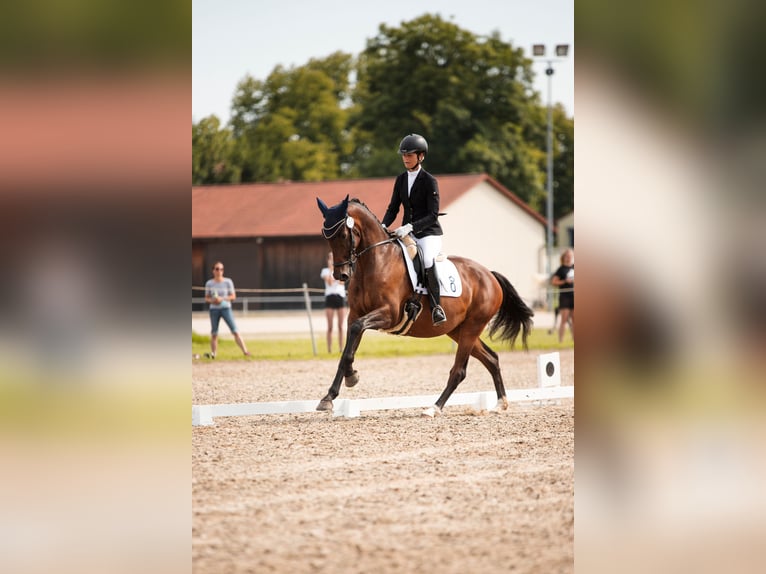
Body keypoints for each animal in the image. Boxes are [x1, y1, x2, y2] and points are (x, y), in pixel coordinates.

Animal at [314, 195, 536, 418]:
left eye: (343, 235)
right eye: (326, 237)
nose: (341, 275)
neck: (376, 262)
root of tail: (490, 275)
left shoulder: (389, 314)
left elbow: (356, 329)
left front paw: (349, 379)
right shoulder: (355, 314)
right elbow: (347, 350)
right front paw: (331, 395)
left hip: (472, 327)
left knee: (459, 371)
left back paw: (433, 408)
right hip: (458, 330)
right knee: (491, 359)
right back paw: (500, 403)